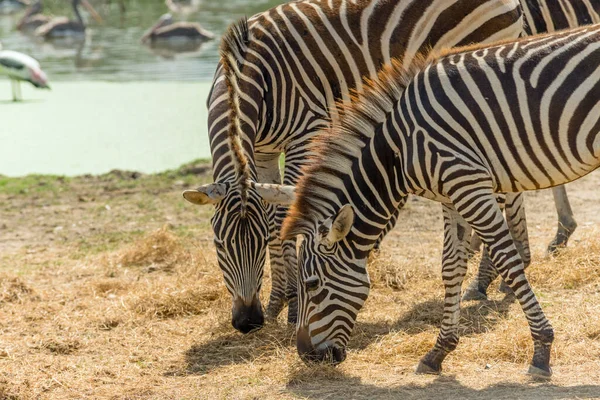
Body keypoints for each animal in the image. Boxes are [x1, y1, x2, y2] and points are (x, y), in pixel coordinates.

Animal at [180, 0, 524, 332]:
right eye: (219, 244)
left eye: (258, 244)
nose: (248, 322)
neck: (249, 72)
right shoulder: (263, 151)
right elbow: (273, 213)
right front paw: (278, 302)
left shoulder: (306, 134)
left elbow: (283, 218)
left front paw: (292, 308)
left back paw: (484, 281)